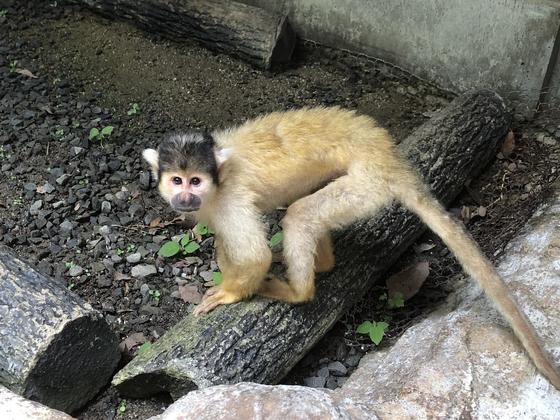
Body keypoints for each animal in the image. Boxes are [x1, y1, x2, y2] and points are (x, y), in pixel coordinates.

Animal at [143, 106, 560, 388]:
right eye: (177, 180)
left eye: (196, 181)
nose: (184, 197)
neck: (218, 182)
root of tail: (389, 157)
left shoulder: (228, 199)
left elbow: (252, 255)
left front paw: (230, 292)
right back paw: (324, 263)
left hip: (366, 186)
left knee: (300, 214)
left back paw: (299, 291)